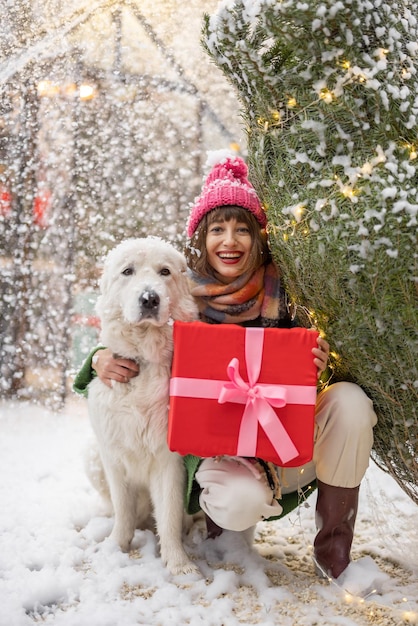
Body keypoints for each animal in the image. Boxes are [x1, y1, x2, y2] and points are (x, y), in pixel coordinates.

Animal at [85, 238, 198, 576]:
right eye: (128, 272)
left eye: (165, 272)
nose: (149, 298)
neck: (144, 362)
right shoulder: (112, 456)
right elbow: (123, 510)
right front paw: (116, 547)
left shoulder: (169, 461)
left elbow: (170, 516)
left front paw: (178, 563)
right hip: (91, 454)